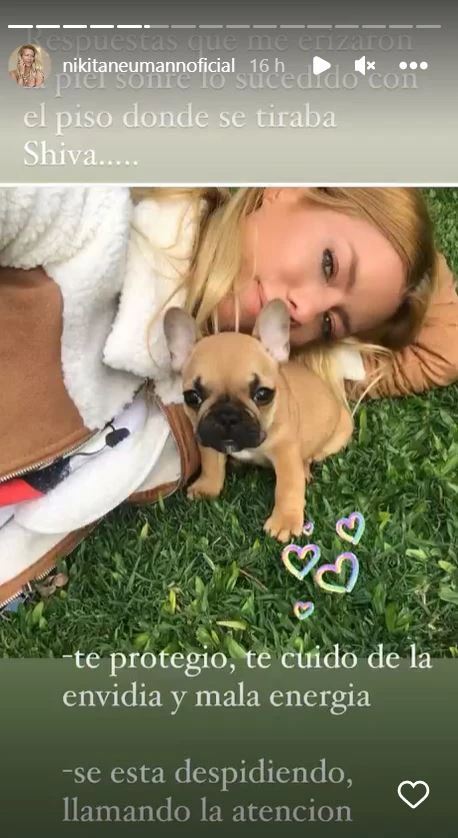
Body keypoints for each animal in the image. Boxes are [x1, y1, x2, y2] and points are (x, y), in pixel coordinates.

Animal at [163, 299, 354, 542]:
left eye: (263, 394)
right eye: (192, 397)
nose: (227, 416)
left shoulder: (285, 451)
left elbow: (288, 486)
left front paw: (285, 521)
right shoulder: (208, 438)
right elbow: (211, 463)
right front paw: (207, 487)